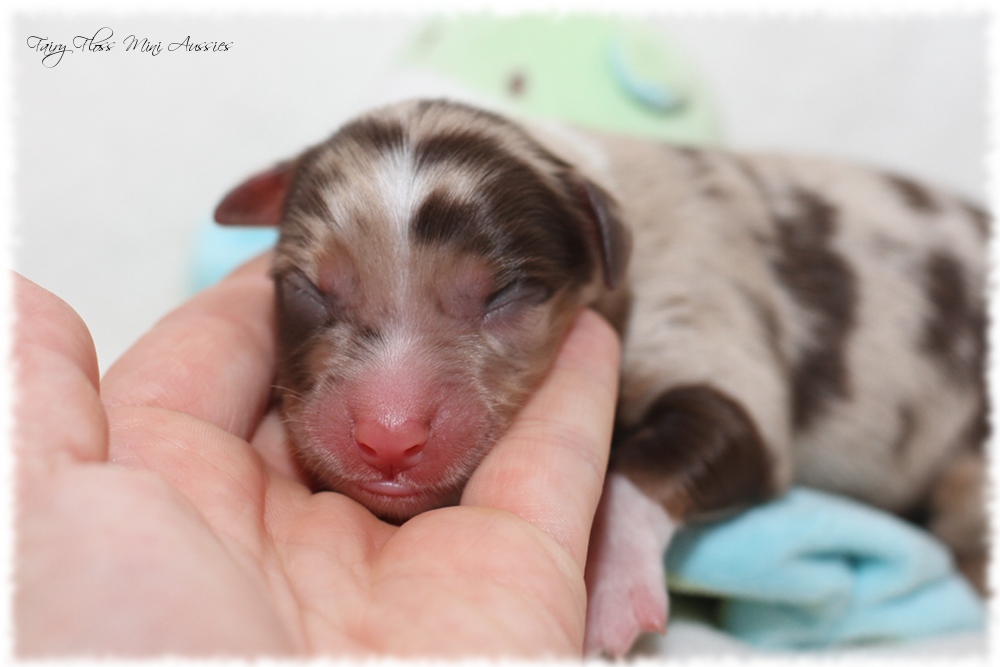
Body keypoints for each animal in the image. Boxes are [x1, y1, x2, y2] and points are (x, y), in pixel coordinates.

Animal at [215, 99, 988, 656]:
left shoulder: (711, 316)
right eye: (305, 289)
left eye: (507, 293)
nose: (387, 437)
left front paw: (608, 591)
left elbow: (653, 462)